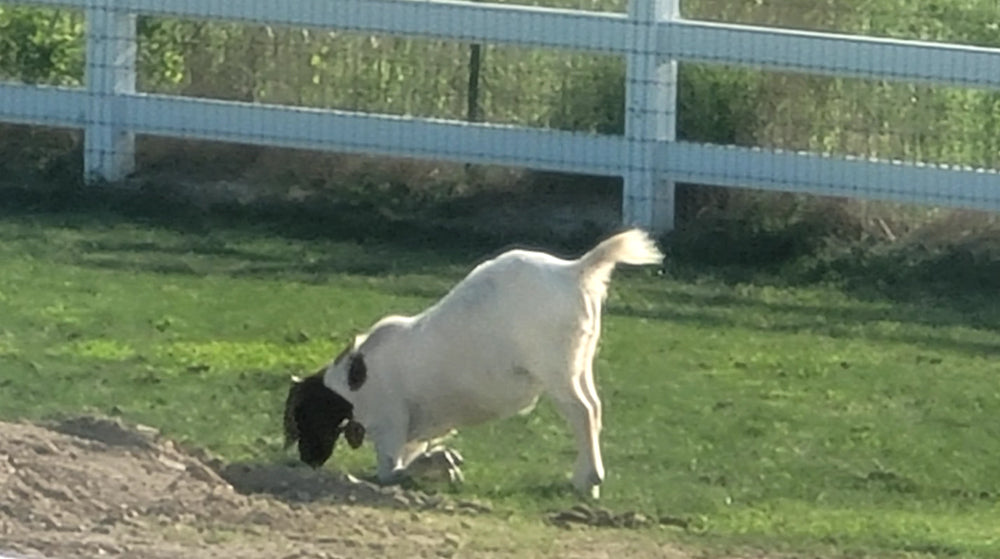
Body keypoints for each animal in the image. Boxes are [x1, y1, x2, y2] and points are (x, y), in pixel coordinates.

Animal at [286, 228, 664, 498]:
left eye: (302, 416)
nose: (307, 460)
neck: (353, 381)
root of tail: (573, 270)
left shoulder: (390, 425)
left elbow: (390, 473)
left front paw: (444, 462)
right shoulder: (412, 435)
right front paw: (446, 464)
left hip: (556, 369)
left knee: (582, 411)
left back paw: (587, 480)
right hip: (579, 362)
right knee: (595, 408)